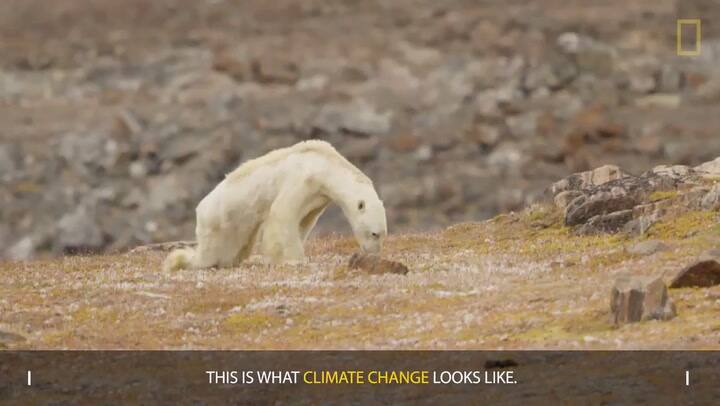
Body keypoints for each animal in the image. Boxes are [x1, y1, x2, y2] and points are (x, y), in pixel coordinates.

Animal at [163, 140, 387, 271]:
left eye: (383, 234)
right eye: (374, 233)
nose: (373, 253)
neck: (324, 164)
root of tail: (200, 209)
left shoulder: (317, 198)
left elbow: (303, 222)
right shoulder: (301, 180)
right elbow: (282, 214)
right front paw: (293, 260)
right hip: (220, 222)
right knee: (210, 254)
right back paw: (180, 261)